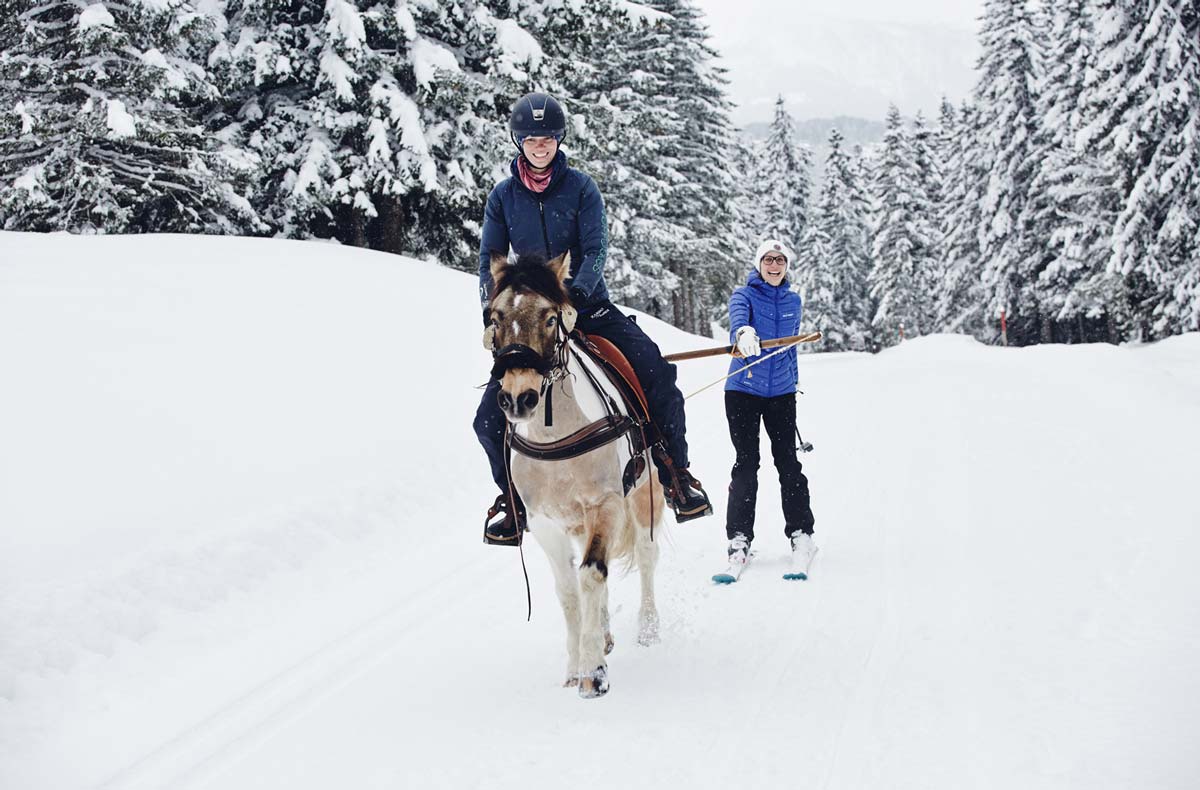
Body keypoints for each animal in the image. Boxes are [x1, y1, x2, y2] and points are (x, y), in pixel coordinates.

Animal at [484, 250, 667, 696]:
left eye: (551, 317)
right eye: (495, 317)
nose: (519, 398)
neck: (556, 432)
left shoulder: (607, 504)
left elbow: (591, 575)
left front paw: (594, 671)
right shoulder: (545, 523)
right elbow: (569, 590)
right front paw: (576, 665)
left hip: (645, 493)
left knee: (647, 555)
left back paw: (648, 628)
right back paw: (603, 632)